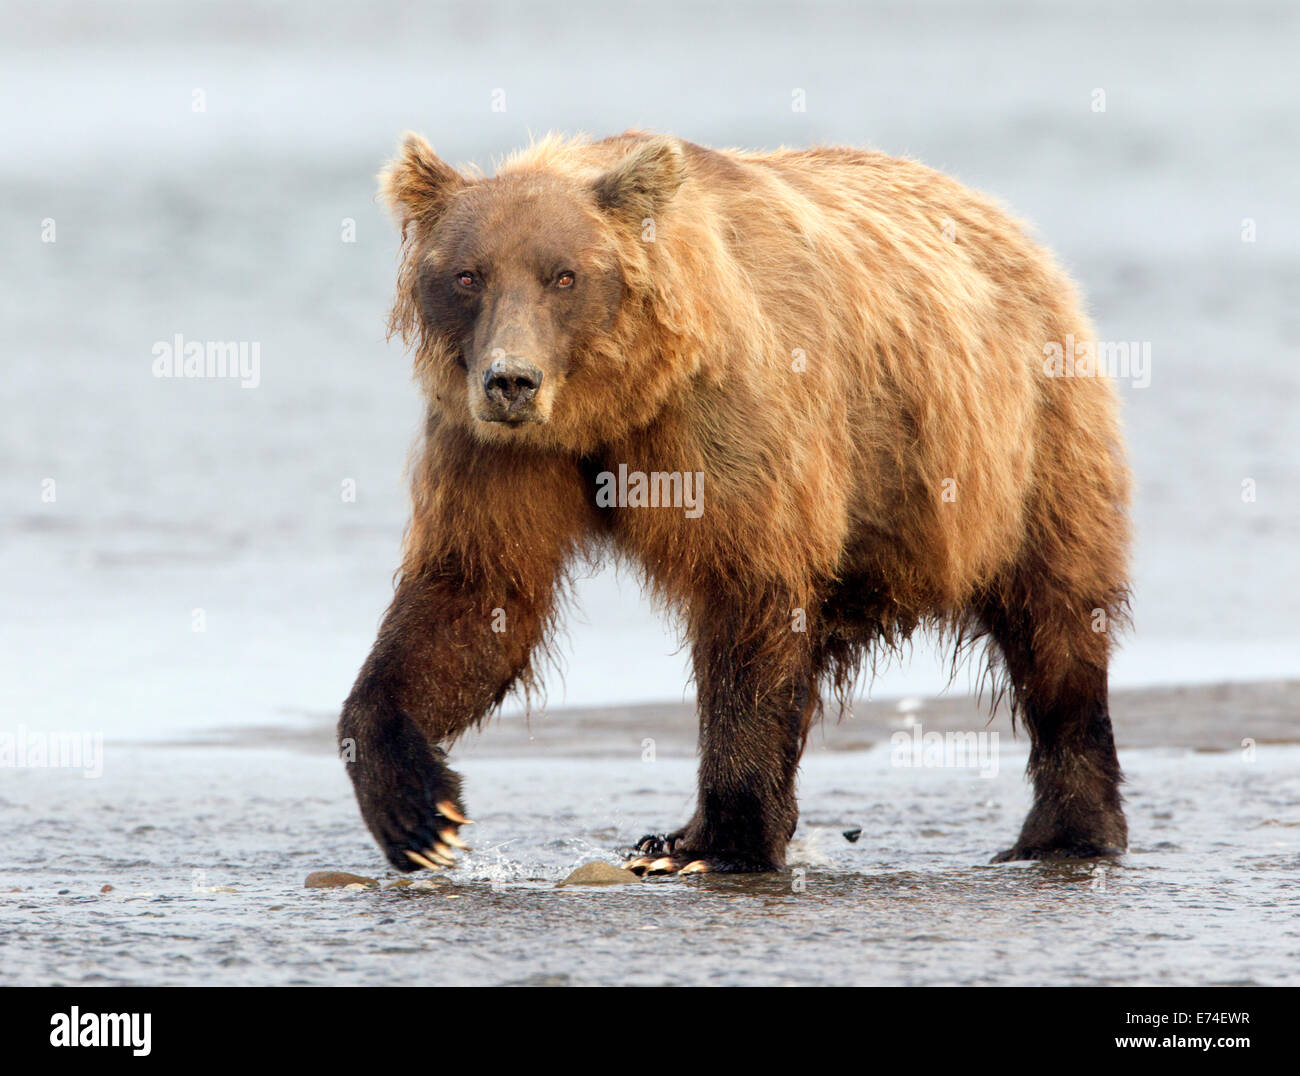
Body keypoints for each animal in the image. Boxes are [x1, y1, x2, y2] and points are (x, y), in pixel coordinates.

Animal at [338, 130, 1132, 875]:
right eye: (467, 275)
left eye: (563, 274)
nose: (511, 380)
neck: (614, 404)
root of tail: (1006, 222)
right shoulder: (499, 453)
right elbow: (476, 595)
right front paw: (422, 815)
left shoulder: (728, 422)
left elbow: (746, 599)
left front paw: (723, 840)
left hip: (1025, 446)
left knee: (1055, 629)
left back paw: (1066, 829)